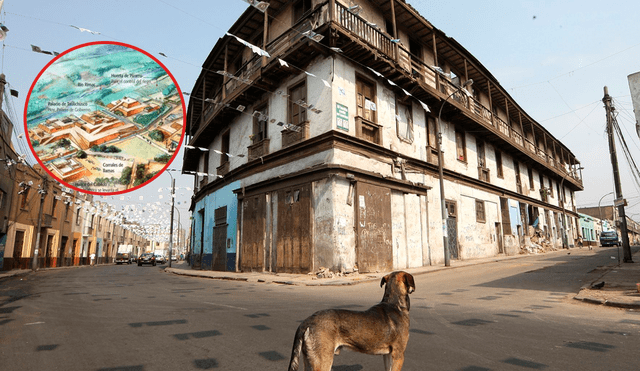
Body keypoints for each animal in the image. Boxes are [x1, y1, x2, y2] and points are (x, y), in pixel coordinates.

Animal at [288, 270, 418, 371]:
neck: (394, 304)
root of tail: (307, 321)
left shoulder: (388, 355)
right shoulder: (398, 355)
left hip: (310, 361)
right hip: (323, 362)